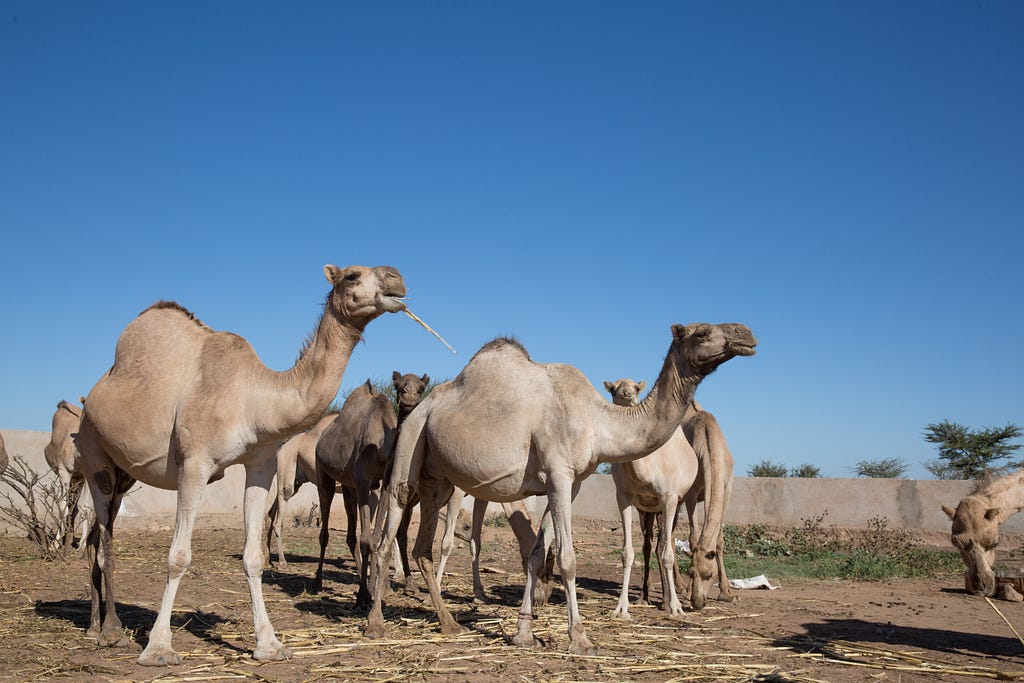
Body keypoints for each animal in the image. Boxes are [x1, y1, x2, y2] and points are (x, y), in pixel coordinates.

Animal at [264, 413, 339, 569]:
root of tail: (279, 451)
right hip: (286, 469)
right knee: (280, 511)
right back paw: (282, 561)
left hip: (296, 480)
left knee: (272, 511)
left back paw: (267, 560)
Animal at [309, 374, 425, 602]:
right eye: (399, 387)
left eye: (421, 388)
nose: (409, 400)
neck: (381, 451)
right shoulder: (363, 481)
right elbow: (366, 540)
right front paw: (363, 595)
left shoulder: (384, 486)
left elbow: (375, 537)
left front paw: (378, 588)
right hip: (323, 472)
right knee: (325, 528)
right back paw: (317, 583)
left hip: (348, 485)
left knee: (351, 534)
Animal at [364, 323, 757, 655]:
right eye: (702, 332)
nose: (747, 334)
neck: (599, 421)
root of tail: (424, 406)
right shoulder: (558, 473)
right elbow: (567, 559)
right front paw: (579, 638)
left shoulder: (571, 481)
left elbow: (538, 555)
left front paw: (524, 633)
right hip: (411, 443)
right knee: (387, 530)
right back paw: (375, 624)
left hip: (438, 477)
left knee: (423, 545)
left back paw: (449, 623)